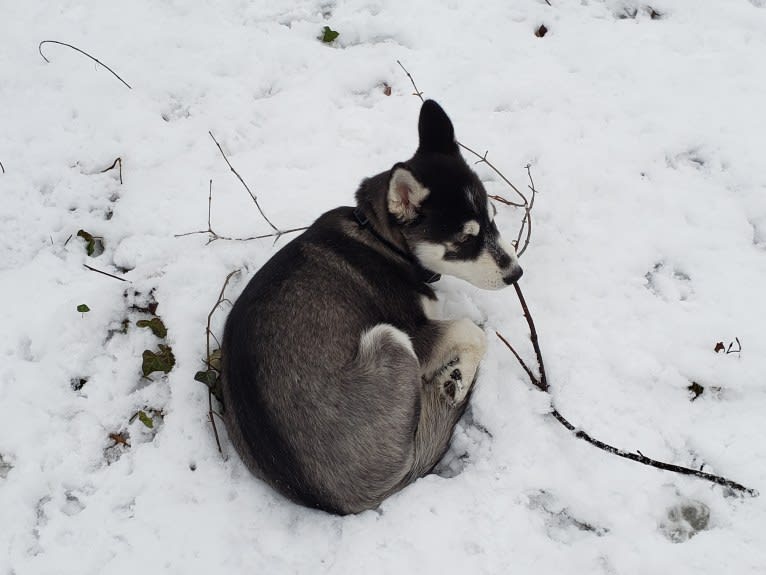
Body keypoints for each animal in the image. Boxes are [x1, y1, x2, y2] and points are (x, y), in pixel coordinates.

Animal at [222, 101, 520, 516]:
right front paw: (456, 378)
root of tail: (340, 500)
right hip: (389, 340)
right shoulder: (416, 333)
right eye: (464, 240)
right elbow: (473, 331)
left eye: (493, 219)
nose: (516, 272)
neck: (378, 237)